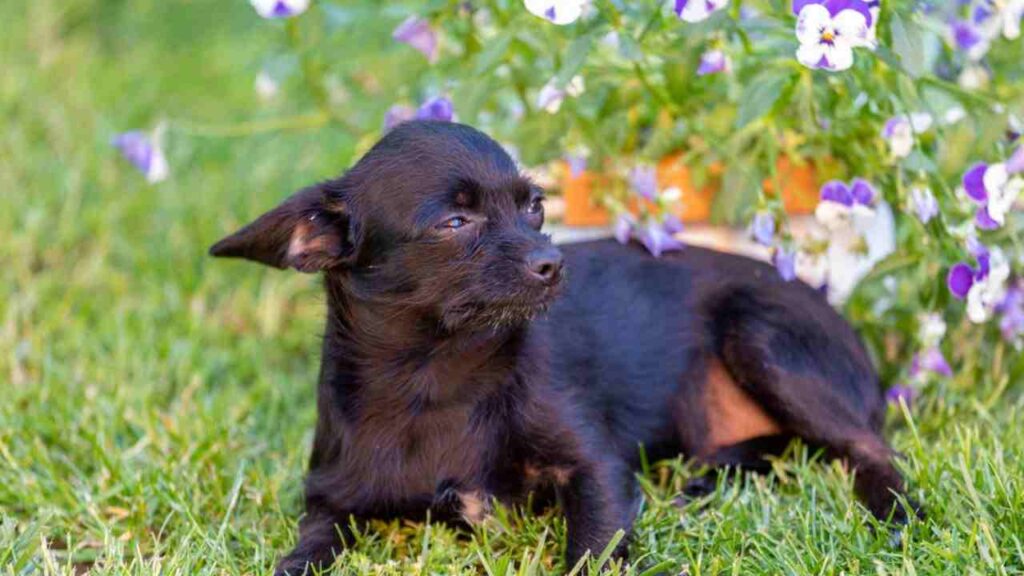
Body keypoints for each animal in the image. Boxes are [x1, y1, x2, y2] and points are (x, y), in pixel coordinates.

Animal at [211, 119, 917, 569]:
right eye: (454, 222)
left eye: (535, 208)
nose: (553, 263)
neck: (436, 380)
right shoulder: (332, 502)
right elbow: (303, 552)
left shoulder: (596, 470)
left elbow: (590, 552)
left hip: (760, 335)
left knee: (867, 446)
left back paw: (893, 514)